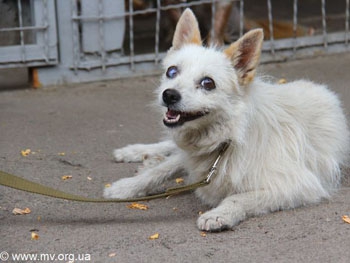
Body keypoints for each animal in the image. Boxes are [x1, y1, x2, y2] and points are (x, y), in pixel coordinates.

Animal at [104, 8, 350, 232]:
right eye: (171, 72)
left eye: (208, 83)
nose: (169, 95)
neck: (228, 139)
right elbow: (159, 172)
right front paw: (126, 186)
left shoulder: (299, 185)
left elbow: (239, 197)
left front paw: (220, 214)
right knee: (167, 157)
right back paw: (135, 154)